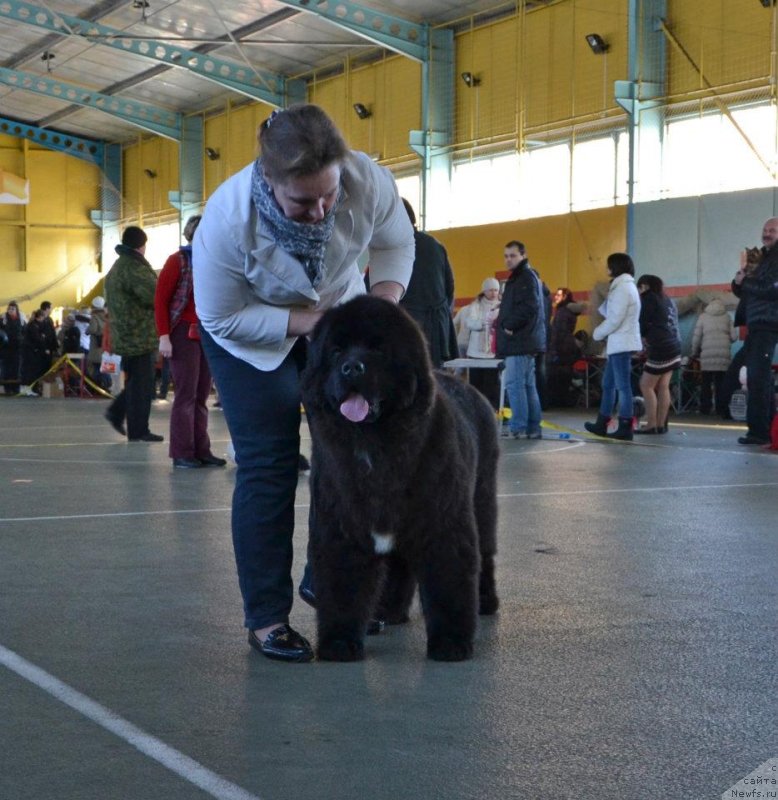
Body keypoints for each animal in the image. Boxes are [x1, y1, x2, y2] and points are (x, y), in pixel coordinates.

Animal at [298, 294, 498, 664]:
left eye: (377, 350)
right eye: (336, 351)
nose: (351, 368)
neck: (375, 446)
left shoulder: (443, 525)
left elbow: (449, 581)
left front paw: (451, 642)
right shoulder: (340, 530)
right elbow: (342, 586)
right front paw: (340, 642)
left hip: (482, 498)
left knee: (486, 554)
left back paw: (486, 602)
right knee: (400, 565)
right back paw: (388, 610)